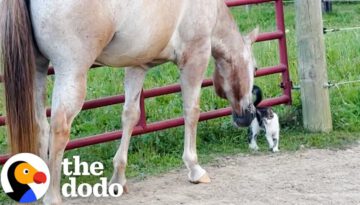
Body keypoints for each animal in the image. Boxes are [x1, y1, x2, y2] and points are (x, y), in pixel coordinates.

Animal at [0, 0, 258, 203]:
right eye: (254, 68)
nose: (247, 116)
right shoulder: (195, 57)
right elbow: (191, 112)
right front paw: (194, 168)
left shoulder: (138, 65)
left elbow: (130, 116)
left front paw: (118, 179)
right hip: (71, 71)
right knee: (59, 129)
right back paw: (52, 197)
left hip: (37, 68)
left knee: (40, 126)